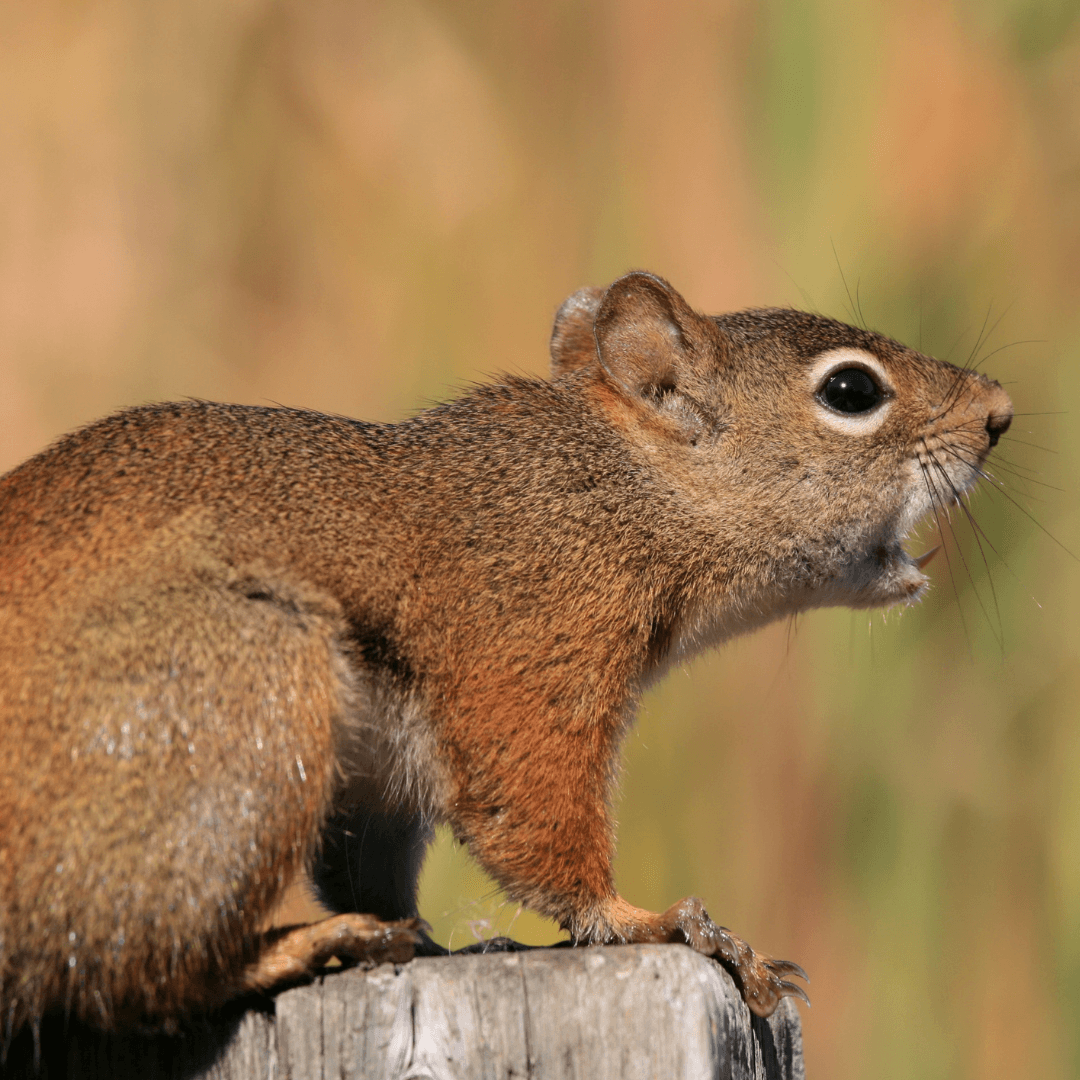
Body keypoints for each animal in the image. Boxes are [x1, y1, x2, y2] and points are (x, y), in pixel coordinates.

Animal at [0, 270, 1010, 1036]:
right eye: (851, 392)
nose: (999, 412)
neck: (623, 489)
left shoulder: (381, 781)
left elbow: (372, 863)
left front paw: (436, 938)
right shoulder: (531, 643)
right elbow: (532, 813)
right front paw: (655, 923)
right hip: (228, 705)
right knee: (135, 975)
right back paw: (304, 947)